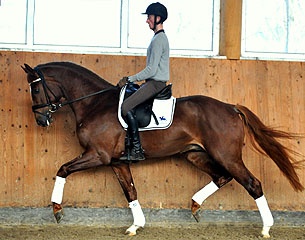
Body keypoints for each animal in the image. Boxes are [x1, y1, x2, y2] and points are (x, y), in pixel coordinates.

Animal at [22, 62, 302, 238]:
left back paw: (265, 229)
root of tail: (230, 107)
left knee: (252, 183)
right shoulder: (117, 162)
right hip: (195, 153)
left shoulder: (97, 155)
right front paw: (136, 226)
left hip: (226, 155)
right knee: (222, 177)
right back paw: (195, 206)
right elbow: (130, 191)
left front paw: (57, 210)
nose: (40, 120)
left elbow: (62, 169)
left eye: (35, 88)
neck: (94, 103)